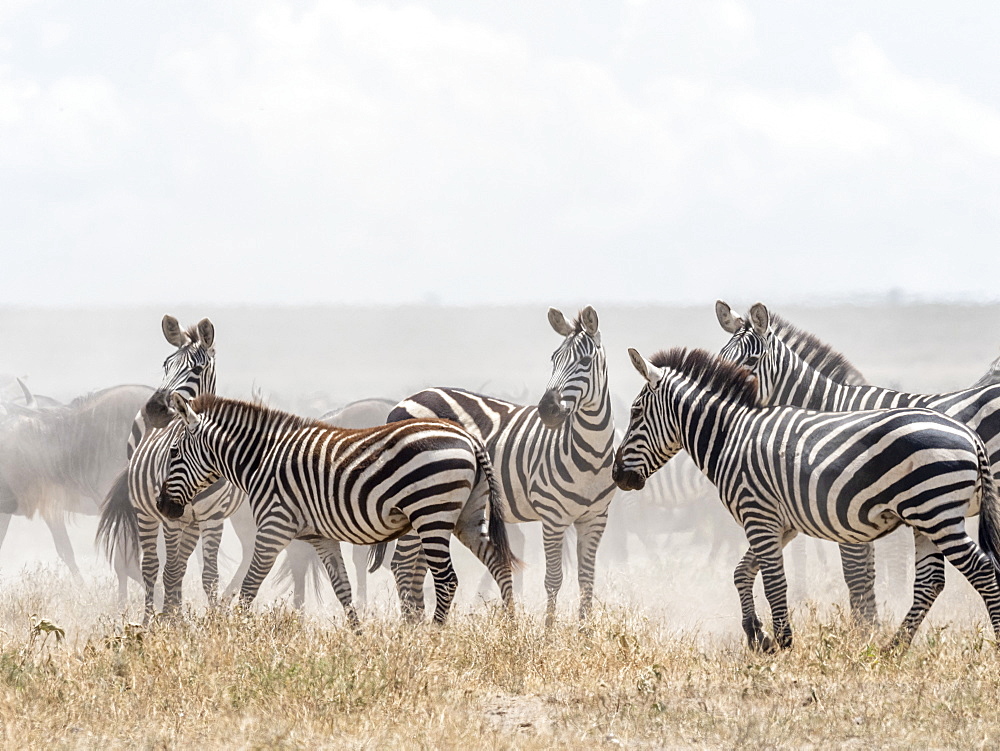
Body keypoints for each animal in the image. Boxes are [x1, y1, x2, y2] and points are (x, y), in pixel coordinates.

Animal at [158, 390, 516, 624]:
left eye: (173, 452)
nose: (163, 506)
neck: (261, 459)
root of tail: (469, 438)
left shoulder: (274, 527)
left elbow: (250, 586)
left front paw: (236, 634)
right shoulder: (320, 536)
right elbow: (342, 589)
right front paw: (358, 637)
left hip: (432, 513)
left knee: (447, 580)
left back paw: (434, 635)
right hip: (466, 516)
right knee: (499, 561)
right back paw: (510, 626)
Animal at [612, 346, 1000, 652]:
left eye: (635, 413)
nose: (617, 476)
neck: (731, 435)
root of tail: (969, 435)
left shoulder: (758, 514)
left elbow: (773, 582)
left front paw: (783, 641)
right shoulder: (781, 524)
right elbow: (742, 572)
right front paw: (757, 636)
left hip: (937, 512)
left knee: (982, 571)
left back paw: (991, 643)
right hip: (926, 517)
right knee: (930, 582)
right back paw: (893, 649)